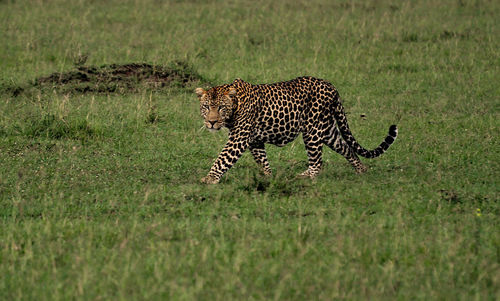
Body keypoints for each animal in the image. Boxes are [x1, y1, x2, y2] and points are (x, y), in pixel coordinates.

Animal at [195, 75, 398, 183]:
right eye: (206, 107)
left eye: (221, 108)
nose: (211, 122)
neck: (235, 104)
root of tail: (331, 86)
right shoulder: (254, 140)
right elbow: (262, 159)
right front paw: (267, 176)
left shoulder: (239, 138)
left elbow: (223, 158)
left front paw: (209, 179)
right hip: (327, 130)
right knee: (346, 147)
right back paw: (361, 169)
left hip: (313, 130)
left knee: (317, 161)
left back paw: (306, 176)